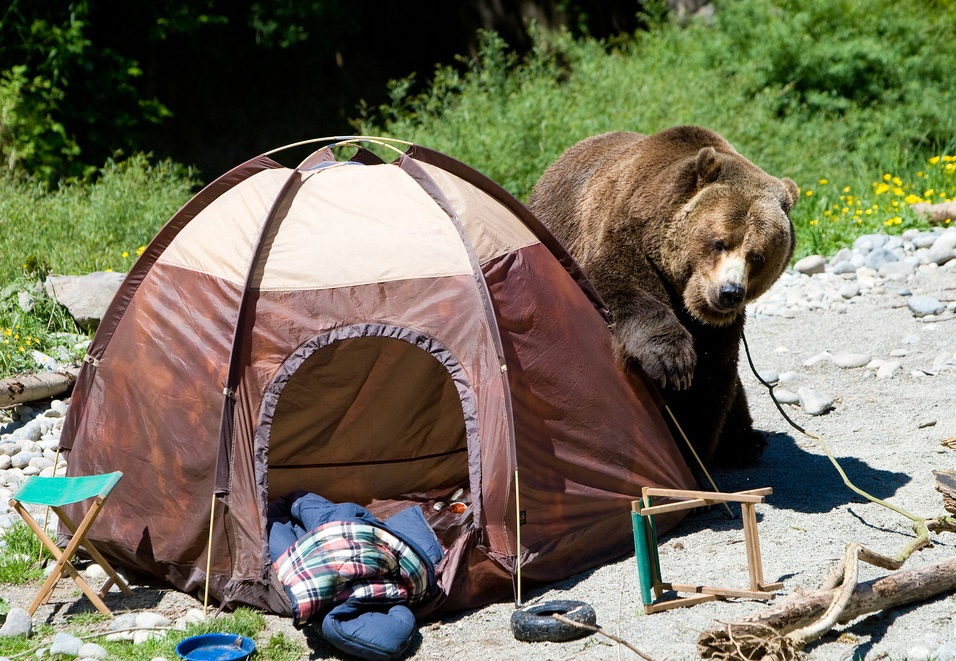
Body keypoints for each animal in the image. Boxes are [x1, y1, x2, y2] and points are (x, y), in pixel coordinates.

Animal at [532, 124, 800, 464]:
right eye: (720, 242)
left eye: (758, 256)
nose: (729, 292)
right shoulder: (623, 238)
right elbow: (623, 290)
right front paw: (671, 363)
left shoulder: (719, 326)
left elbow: (712, 375)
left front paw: (692, 445)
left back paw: (744, 443)